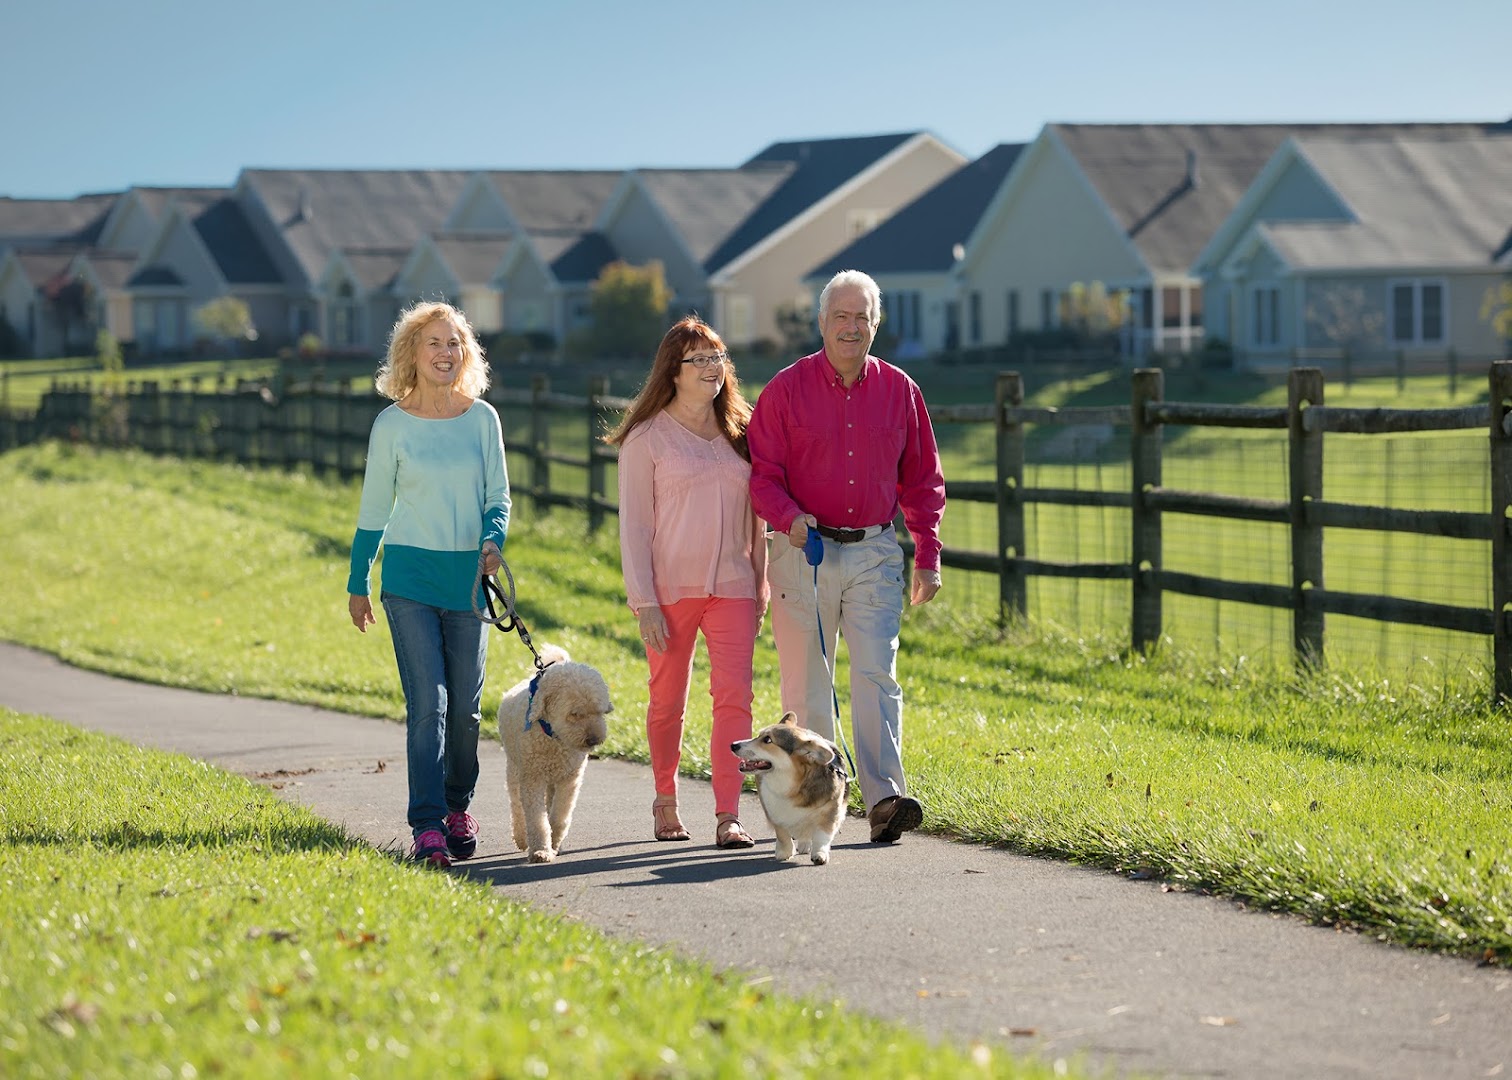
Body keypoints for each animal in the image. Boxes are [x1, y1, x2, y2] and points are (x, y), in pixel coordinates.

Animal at [498, 644, 610, 865]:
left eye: (599, 711)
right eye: (575, 714)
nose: (593, 740)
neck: (552, 737)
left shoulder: (569, 779)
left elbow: (559, 816)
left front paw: (555, 843)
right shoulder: (532, 779)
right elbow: (536, 819)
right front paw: (540, 851)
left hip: (551, 780)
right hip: (514, 769)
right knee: (516, 805)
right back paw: (521, 837)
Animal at [728, 710, 846, 865]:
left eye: (767, 740)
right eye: (759, 736)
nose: (733, 745)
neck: (792, 785)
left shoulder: (830, 811)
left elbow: (821, 836)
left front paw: (819, 854)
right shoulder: (774, 812)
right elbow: (782, 834)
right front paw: (784, 852)